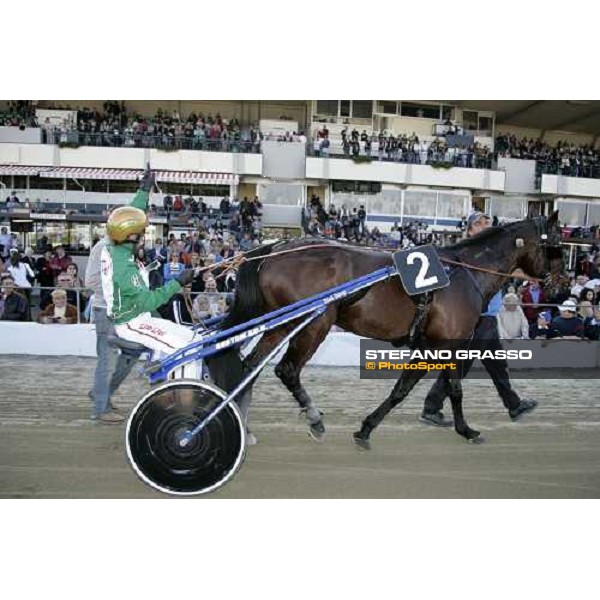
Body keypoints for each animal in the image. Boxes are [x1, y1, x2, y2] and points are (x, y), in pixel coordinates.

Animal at [214, 213, 564, 448]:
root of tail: (275, 249)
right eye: (557, 243)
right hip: (313, 324)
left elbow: (401, 390)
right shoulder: (450, 344)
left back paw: (245, 426)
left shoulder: (427, 346)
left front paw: (366, 428)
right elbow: (454, 389)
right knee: (286, 370)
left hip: (280, 324)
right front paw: (467, 431)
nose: (556, 281)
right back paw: (314, 419)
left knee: (250, 368)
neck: (463, 273)